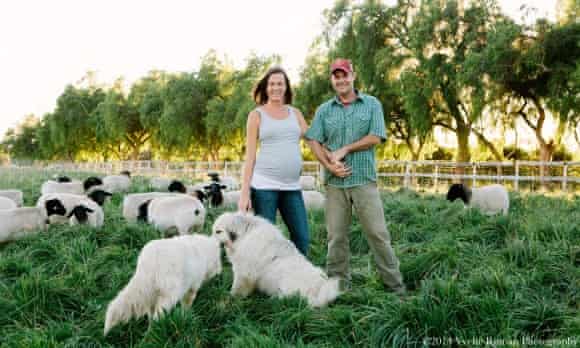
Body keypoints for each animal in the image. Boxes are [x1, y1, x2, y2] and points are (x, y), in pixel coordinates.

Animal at [212, 212, 340, 308]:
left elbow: (237, 288)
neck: (245, 234)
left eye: (218, 231)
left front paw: (230, 298)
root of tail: (321, 289)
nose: (209, 242)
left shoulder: (244, 273)